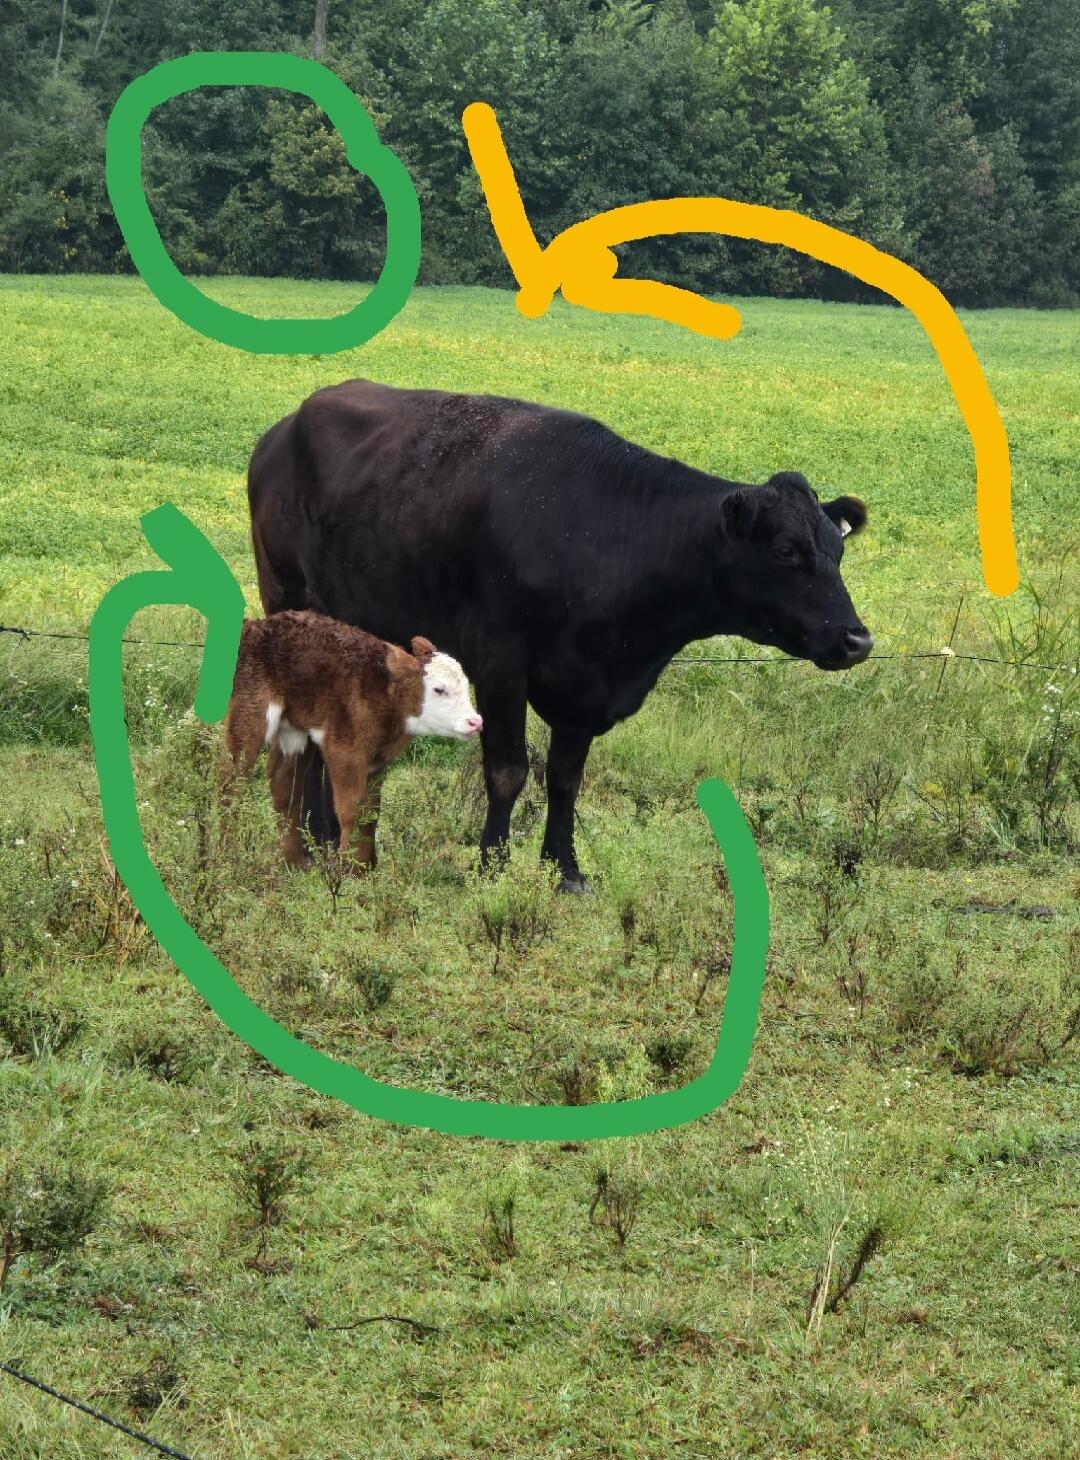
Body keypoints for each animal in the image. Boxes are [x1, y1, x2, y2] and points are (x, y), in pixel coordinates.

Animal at [222, 610, 481, 867]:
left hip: (295, 728)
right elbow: (352, 810)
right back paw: (226, 853)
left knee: (284, 786)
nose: (475, 722)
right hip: (250, 708)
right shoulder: (344, 747)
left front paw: (366, 868)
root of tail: (255, 627)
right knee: (230, 780)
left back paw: (293, 862)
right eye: (439, 689)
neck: (386, 698)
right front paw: (350, 870)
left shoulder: (377, 759)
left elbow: (371, 812)